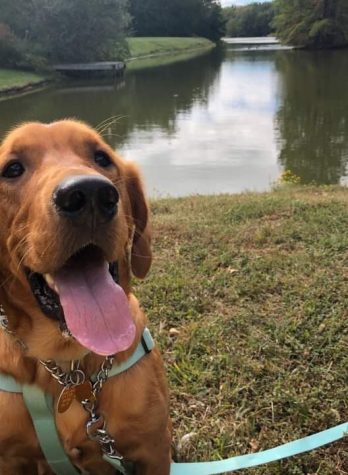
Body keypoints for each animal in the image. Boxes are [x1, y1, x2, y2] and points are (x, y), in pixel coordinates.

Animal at [0, 122, 172, 475]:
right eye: (12, 169)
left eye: (101, 158)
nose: (90, 193)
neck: (68, 367)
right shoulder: (9, 458)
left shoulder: (154, 450)